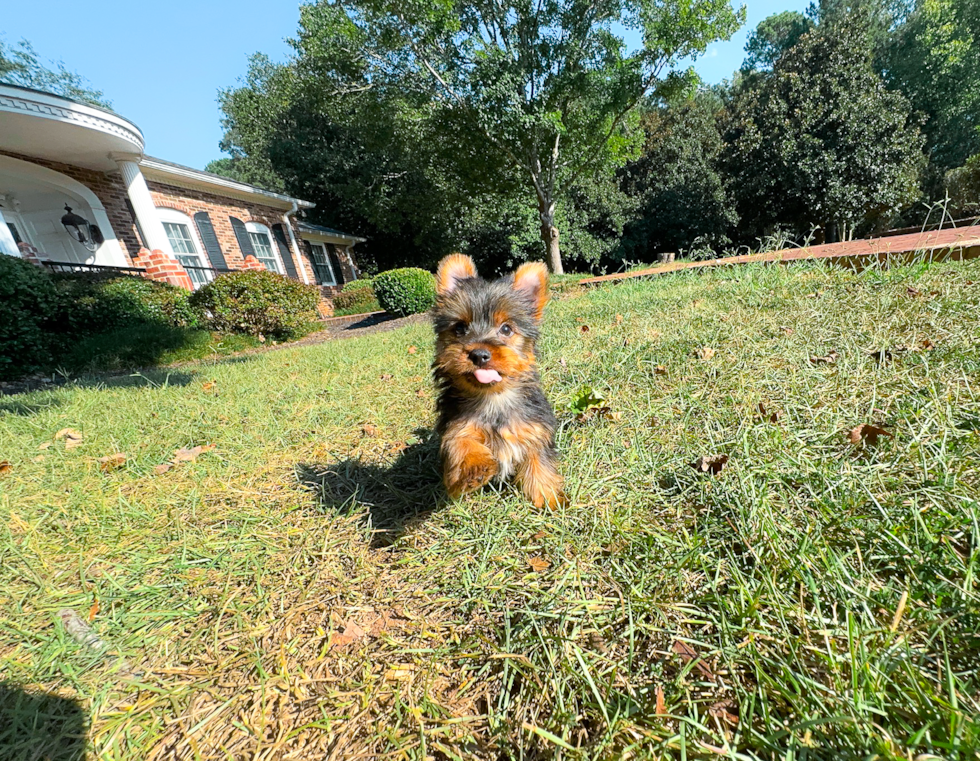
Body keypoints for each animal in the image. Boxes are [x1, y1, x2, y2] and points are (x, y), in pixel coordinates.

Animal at [430, 252, 568, 508]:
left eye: (506, 329)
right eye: (460, 328)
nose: (479, 354)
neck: (493, 397)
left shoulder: (534, 430)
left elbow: (540, 464)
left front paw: (548, 498)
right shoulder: (457, 424)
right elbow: (460, 441)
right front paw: (474, 467)